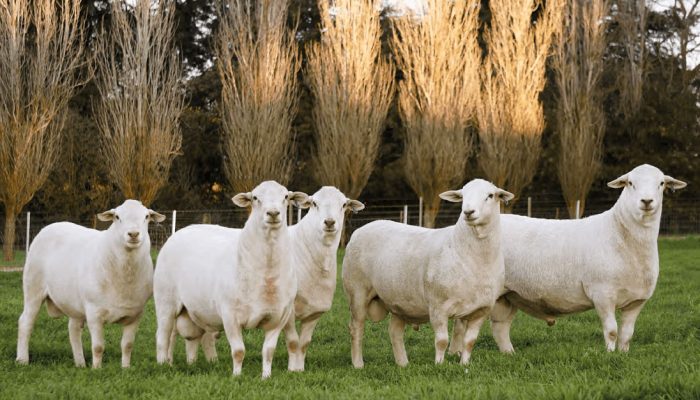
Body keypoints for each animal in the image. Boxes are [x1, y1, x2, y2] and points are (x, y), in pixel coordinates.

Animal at [16, 200, 165, 368]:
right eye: (117, 217)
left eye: (146, 217)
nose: (133, 234)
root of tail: (51, 226)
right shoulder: (94, 312)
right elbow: (98, 346)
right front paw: (97, 369)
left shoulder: (135, 314)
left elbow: (127, 345)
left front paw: (126, 368)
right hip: (33, 288)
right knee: (25, 322)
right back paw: (22, 360)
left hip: (74, 302)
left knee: (73, 329)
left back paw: (80, 363)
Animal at [156, 181, 308, 378]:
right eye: (255, 198)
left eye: (286, 197)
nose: (273, 213)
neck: (266, 274)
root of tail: (181, 231)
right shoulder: (230, 316)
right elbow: (238, 351)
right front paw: (237, 376)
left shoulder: (277, 318)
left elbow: (268, 351)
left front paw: (266, 377)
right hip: (165, 301)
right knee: (163, 336)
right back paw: (162, 365)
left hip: (192, 310)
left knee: (185, 337)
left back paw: (181, 363)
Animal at [342, 180, 512, 368]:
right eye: (463, 196)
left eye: (490, 195)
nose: (468, 212)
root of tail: (362, 228)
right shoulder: (438, 306)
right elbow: (442, 341)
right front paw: (439, 365)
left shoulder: (481, 310)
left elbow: (469, 342)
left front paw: (464, 365)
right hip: (357, 292)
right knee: (356, 328)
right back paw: (358, 364)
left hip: (399, 300)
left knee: (394, 331)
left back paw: (403, 364)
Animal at [452, 163, 688, 354]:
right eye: (630, 183)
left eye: (661, 183)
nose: (646, 201)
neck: (620, 233)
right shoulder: (602, 293)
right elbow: (612, 331)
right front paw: (610, 355)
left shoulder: (637, 301)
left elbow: (627, 334)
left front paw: (623, 355)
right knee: (461, 324)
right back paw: (456, 353)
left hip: (508, 295)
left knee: (500, 326)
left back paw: (510, 354)